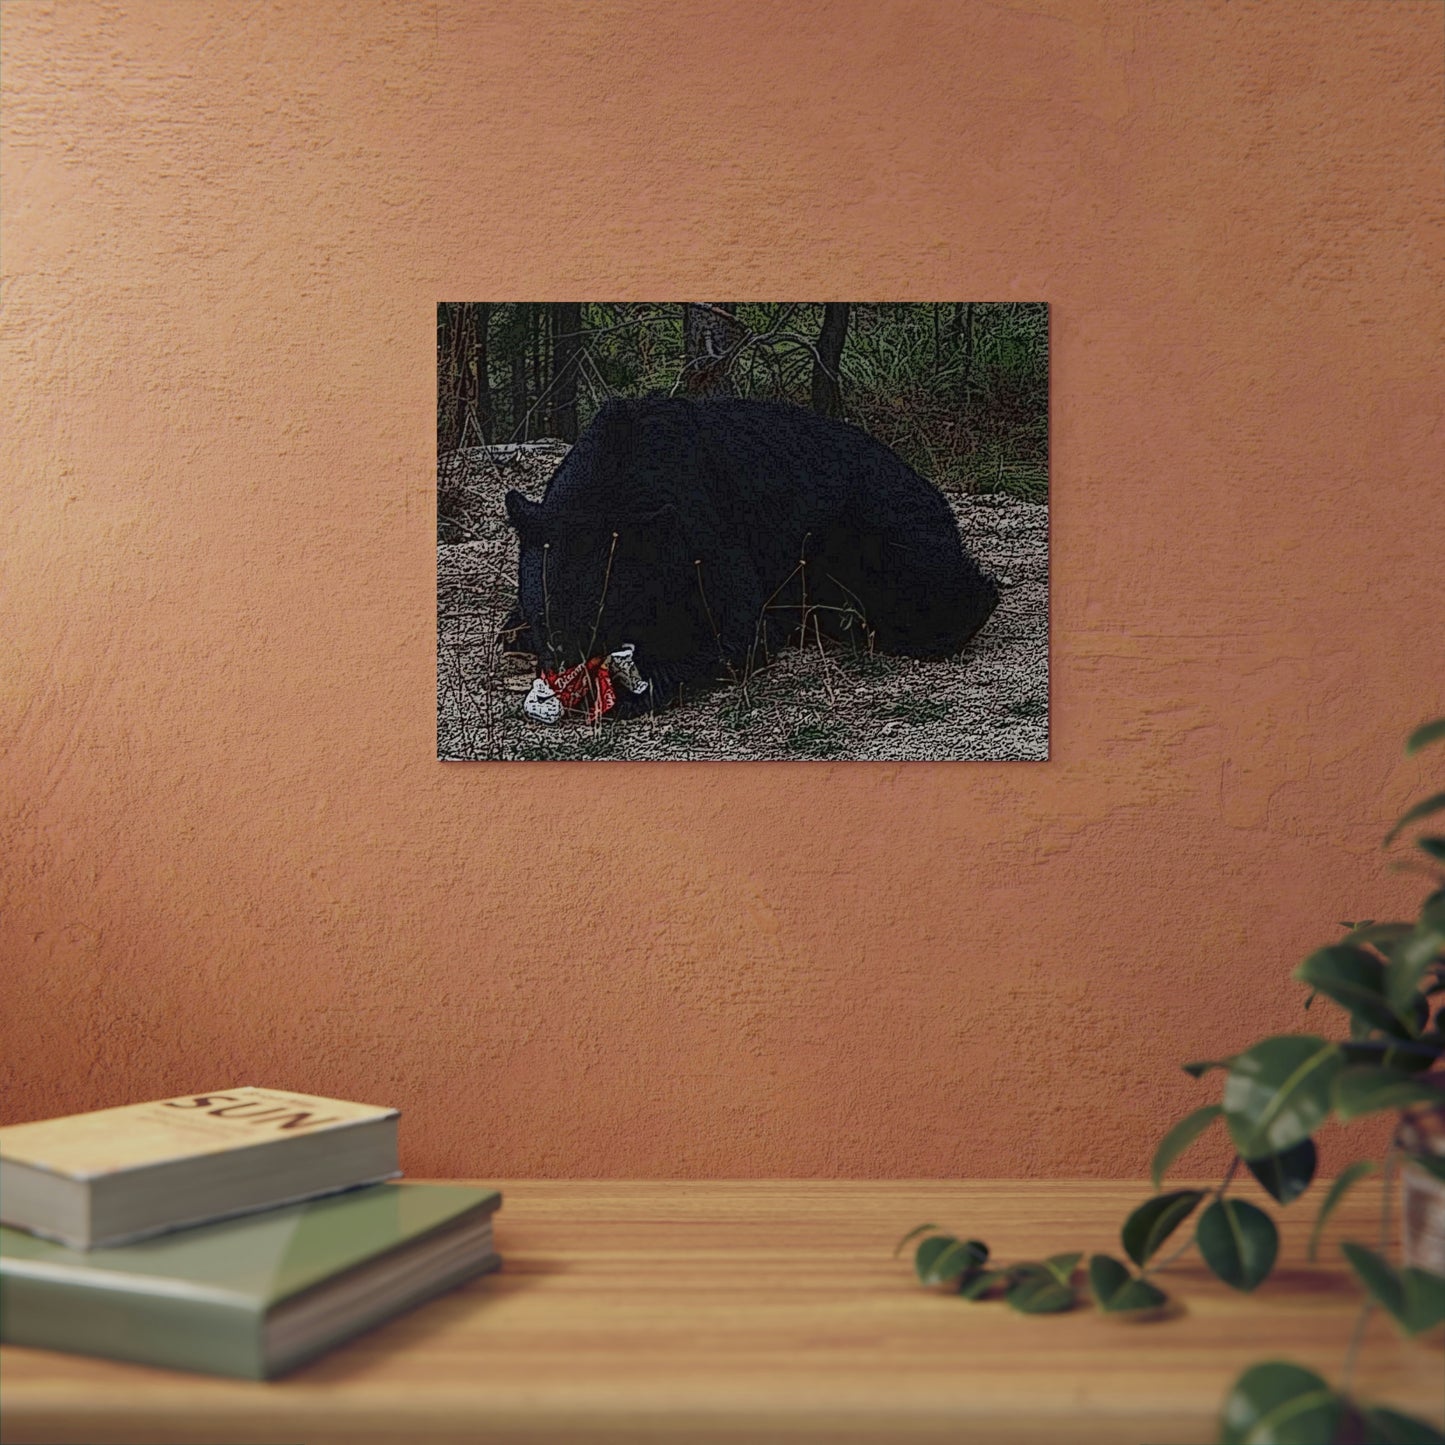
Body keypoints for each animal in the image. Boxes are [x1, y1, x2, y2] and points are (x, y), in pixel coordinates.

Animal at [503, 396, 999, 714]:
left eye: (602, 616)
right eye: (546, 616)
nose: (567, 673)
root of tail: (935, 495)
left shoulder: (701, 524)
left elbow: (735, 628)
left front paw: (636, 686)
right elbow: (513, 628)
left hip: (878, 529)